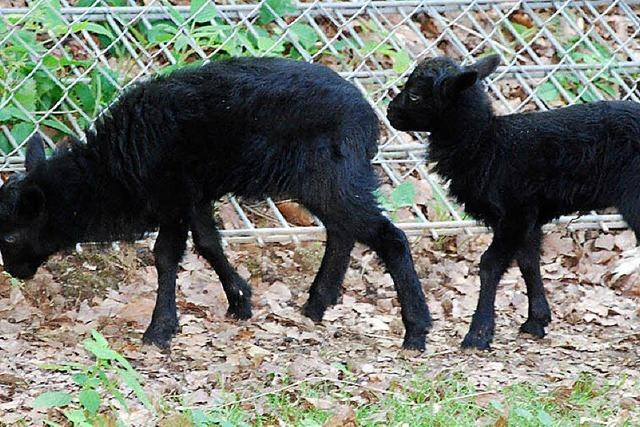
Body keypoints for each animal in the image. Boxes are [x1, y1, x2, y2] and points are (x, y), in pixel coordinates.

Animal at [0, 56, 432, 352]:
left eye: (11, 238)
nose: (14, 272)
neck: (110, 171)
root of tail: (369, 117)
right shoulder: (194, 196)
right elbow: (209, 244)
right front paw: (240, 299)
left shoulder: (173, 195)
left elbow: (166, 255)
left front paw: (160, 329)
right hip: (323, 182)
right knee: (342, 232)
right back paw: (316, 305)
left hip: (331, 176)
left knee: (388, 237)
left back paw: (416, 329)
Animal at [384, 54, 640, 352]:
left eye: (414, 95)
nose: (389, 112)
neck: (485, 145)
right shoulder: (528, 217)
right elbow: (528, 262)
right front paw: (536, 321)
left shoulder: (515, 213)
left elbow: (490, 264)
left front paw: (478, 334)